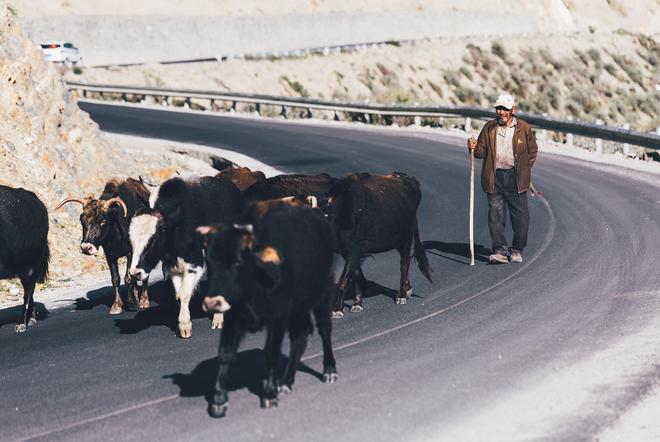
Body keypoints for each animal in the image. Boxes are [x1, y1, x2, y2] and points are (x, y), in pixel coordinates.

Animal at [55, 176, 151, 314]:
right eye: (82, 219)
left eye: (103, 220)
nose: (86, 248)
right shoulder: (110, 255)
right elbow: (115, 279)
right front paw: (116, 305)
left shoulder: (130, 253)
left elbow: (128, 278)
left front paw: (133, 303)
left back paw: (143, 301)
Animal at [199, 199, 338, 420]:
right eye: (209, 263)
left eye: (238, 261)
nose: (213, 302)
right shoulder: (233, 318)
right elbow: (225, 354)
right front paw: (219, 401)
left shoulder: (278, 317)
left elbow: (271, 352)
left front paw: (269, 395)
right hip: (297, 310)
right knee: (301, 335)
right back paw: (286, 381)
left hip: (323, 294)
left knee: (324, 329)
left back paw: (329, 370)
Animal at [324, 171, 434, 316]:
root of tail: (409, 179)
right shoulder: (348, 251)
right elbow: (356, 274)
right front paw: (357, 303)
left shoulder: (354, 249)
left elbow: (345, 279)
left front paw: (337, 309)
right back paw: (408, 289)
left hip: (406, 238)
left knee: (404, 264)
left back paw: (401, 295)